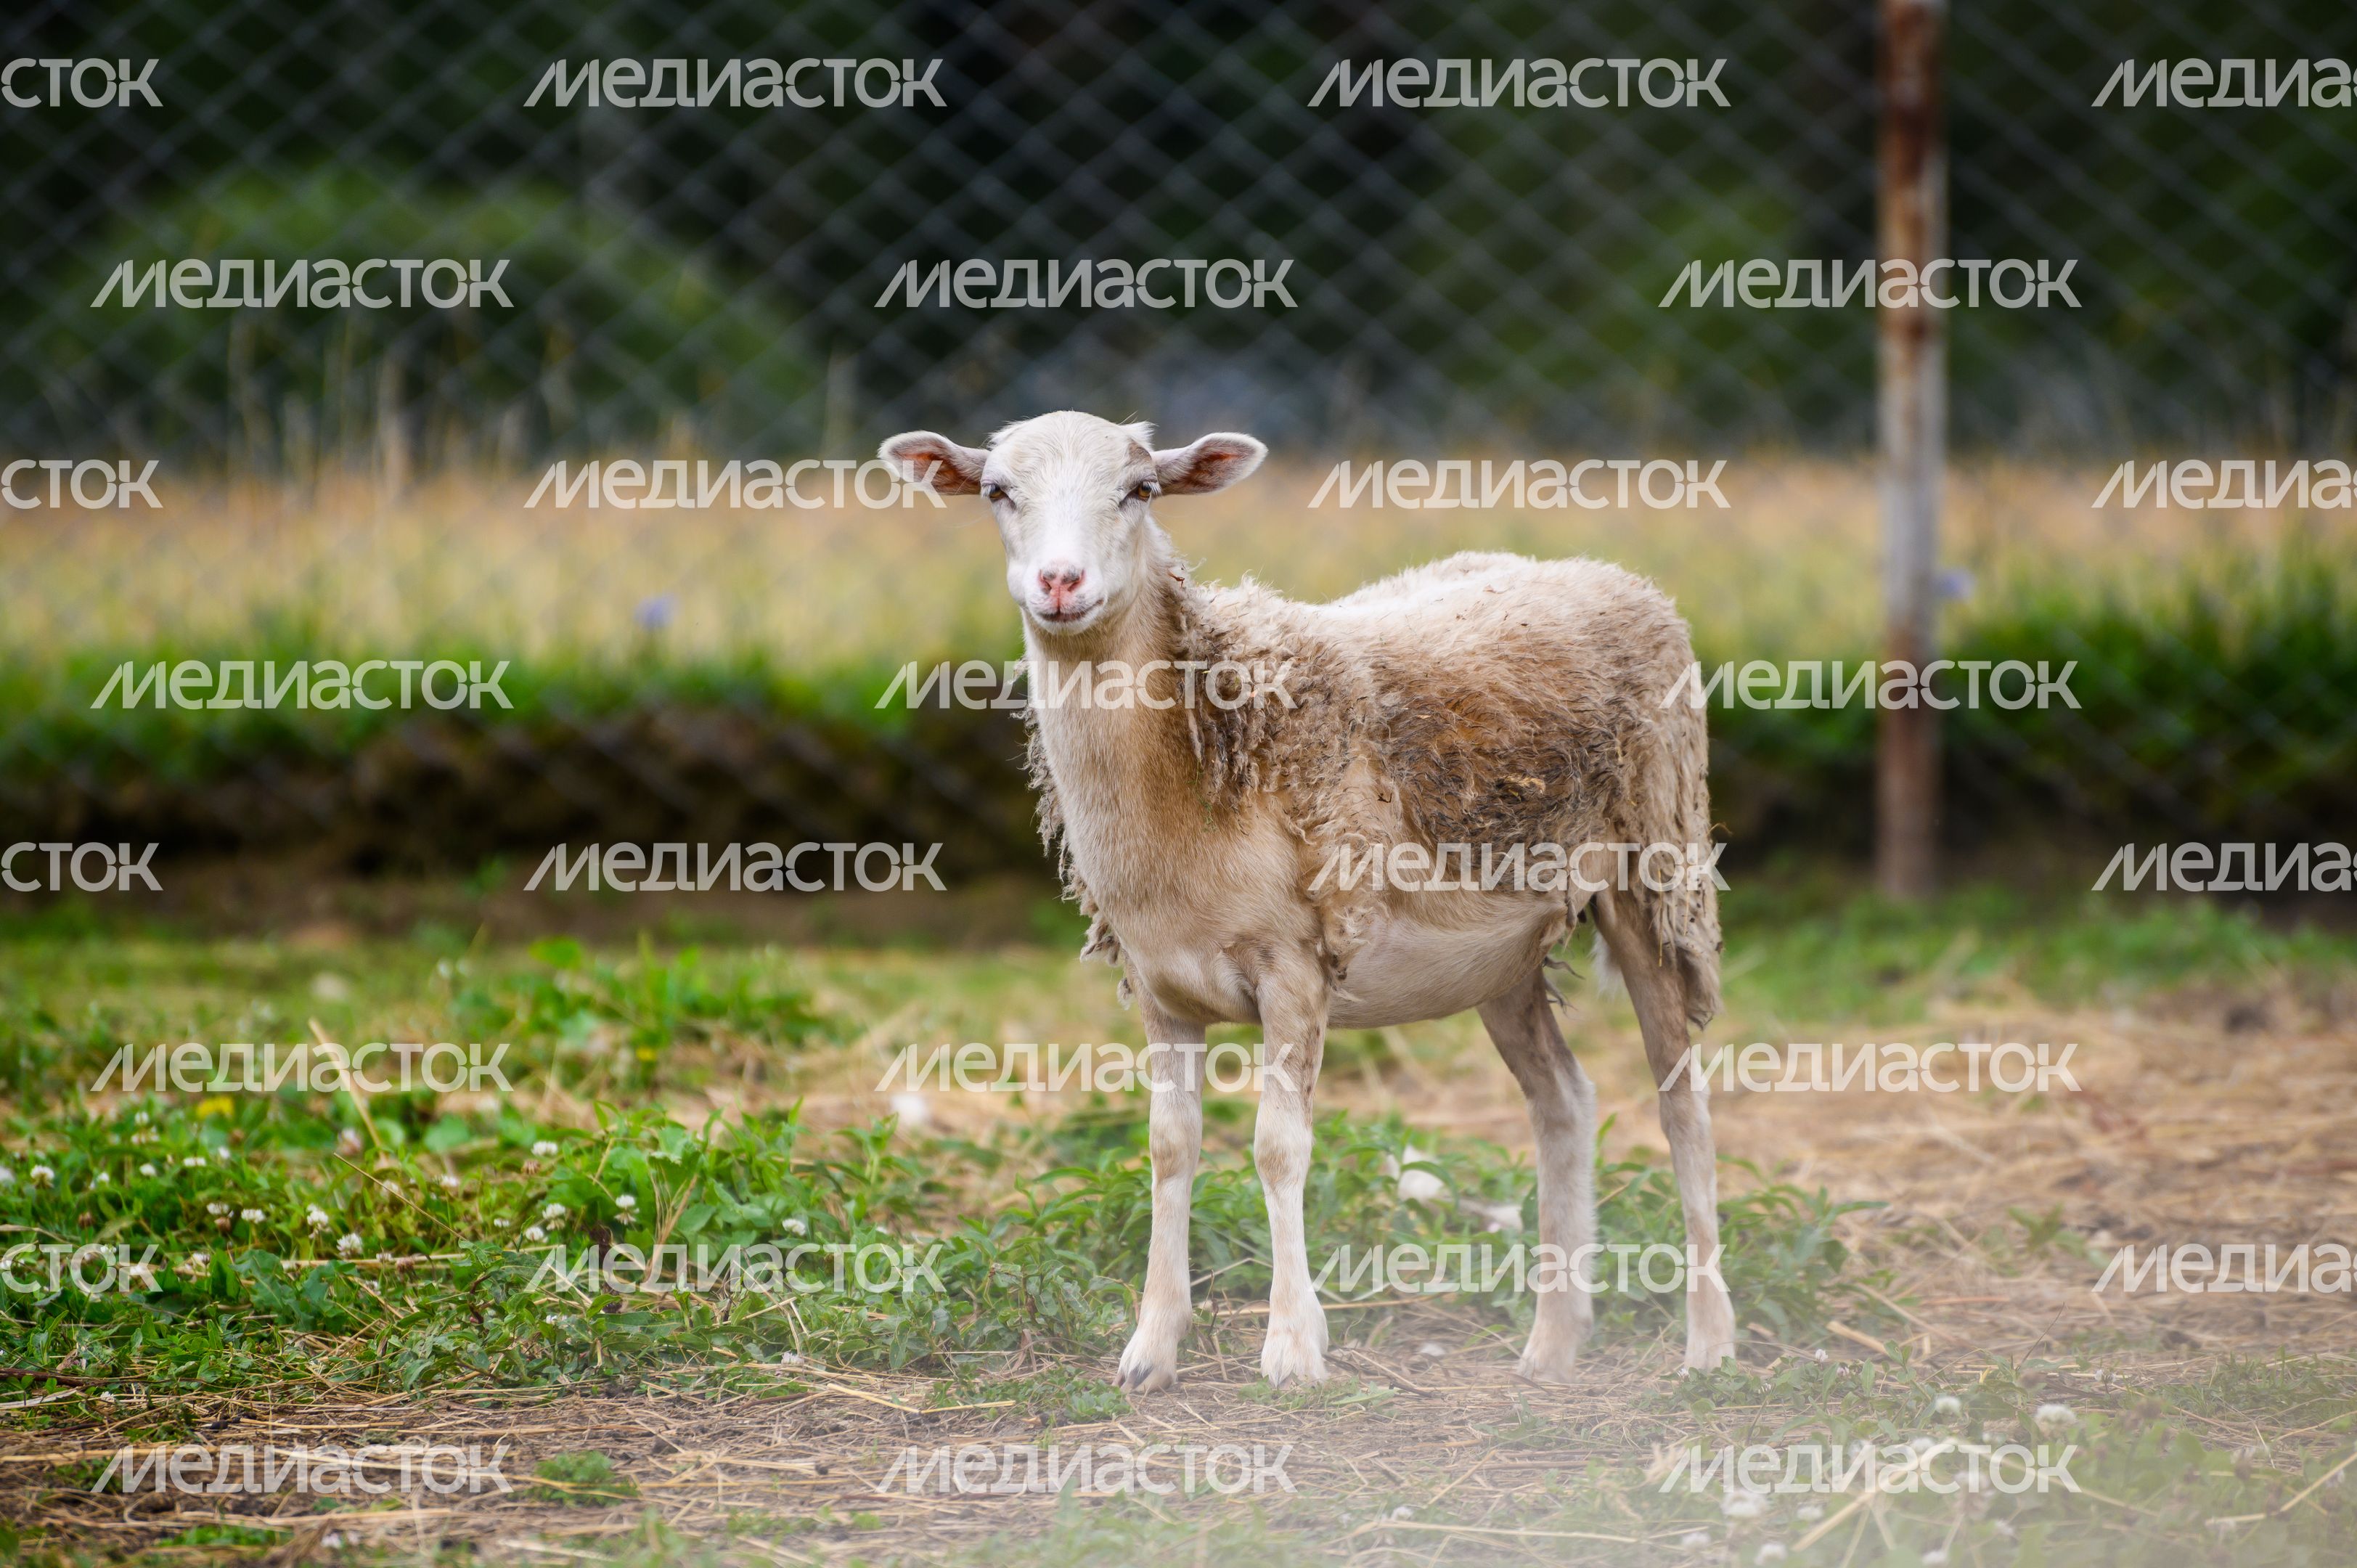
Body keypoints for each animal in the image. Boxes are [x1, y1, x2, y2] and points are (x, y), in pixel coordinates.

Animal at [880, 411, 1734, 1390]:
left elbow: (1277, 1148)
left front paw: (1292, 1348)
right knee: (1565, 1099)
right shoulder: (1158, 984)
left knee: (1680, 1103)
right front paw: (1150, 1348)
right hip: (1504, 954)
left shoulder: (1293, 962)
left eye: (1140, 491)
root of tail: (1611, 575)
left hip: (1655, 867)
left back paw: (1709, 1343)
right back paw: (1552, 1343)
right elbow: (1169, 1148)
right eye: (996, 492)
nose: (1061, 583)